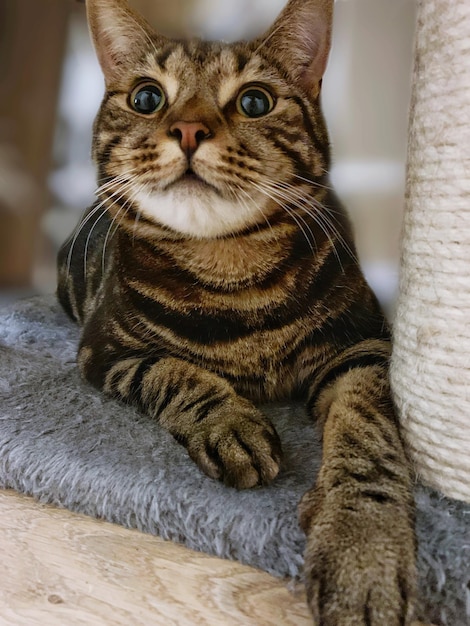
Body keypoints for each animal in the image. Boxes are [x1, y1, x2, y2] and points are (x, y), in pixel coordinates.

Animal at [57, 1, 416, 620]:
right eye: (147, 97)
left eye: (254, 102)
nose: (189, 129)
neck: (232, 271)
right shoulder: (105, 349)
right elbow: (171, 371)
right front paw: (231, 423)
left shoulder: (362, 346)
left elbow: (367, 436)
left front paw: (364, 547)